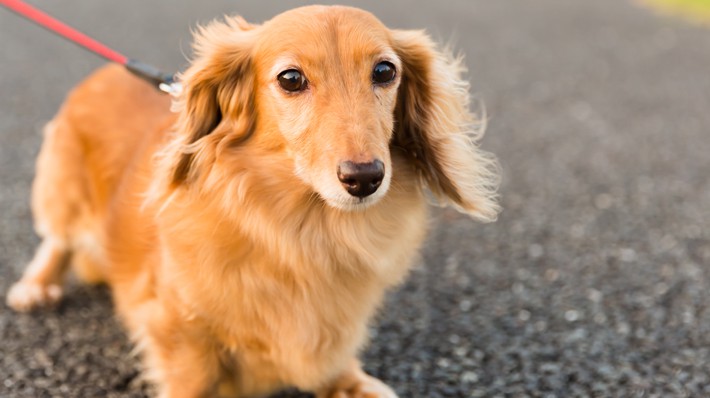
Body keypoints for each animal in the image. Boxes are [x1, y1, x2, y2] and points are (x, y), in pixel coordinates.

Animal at [5, 6, 500, 398]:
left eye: (384, 71)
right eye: (291, 78)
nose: (365, 178)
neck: (303, 235)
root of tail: (105, 71)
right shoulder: (175, 327)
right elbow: (191, 376)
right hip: (62, 189)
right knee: (57, 240)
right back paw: (36, 286)